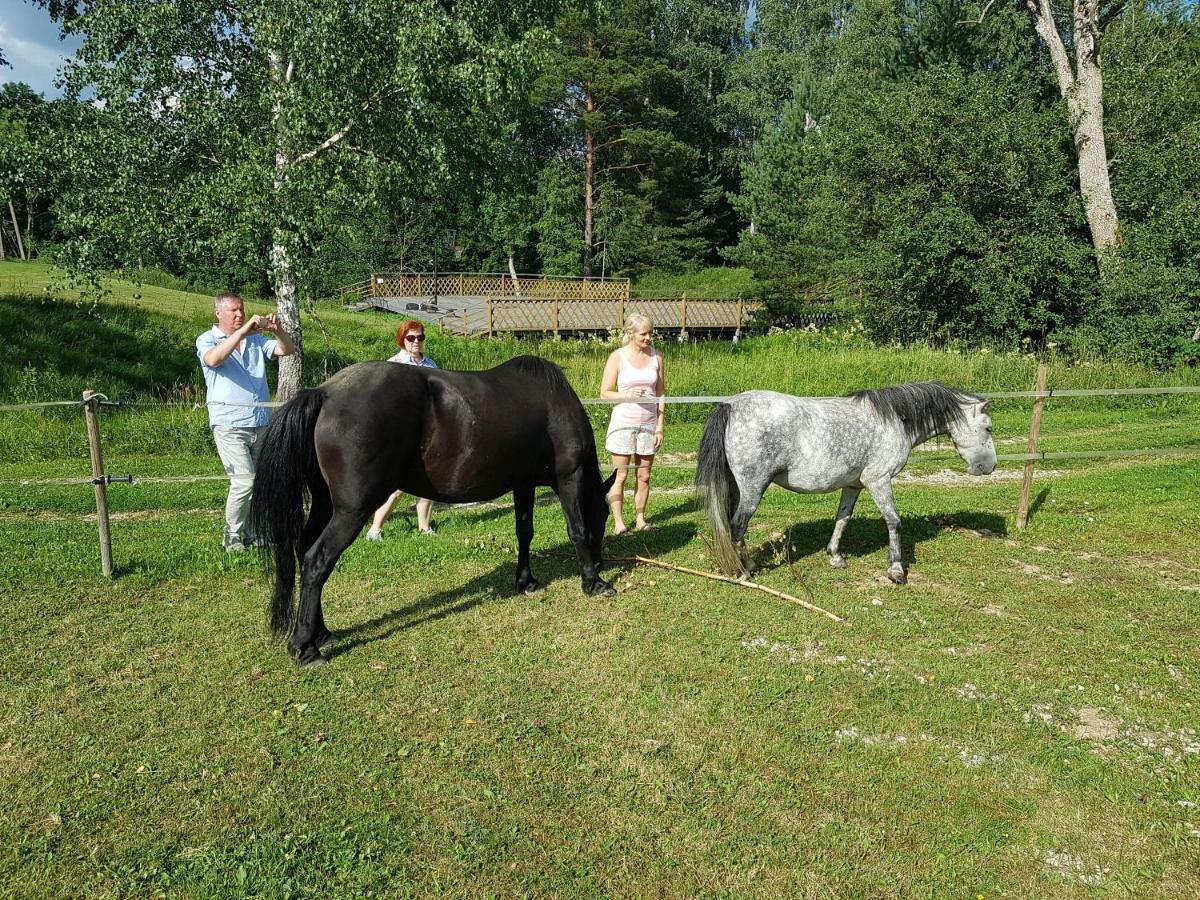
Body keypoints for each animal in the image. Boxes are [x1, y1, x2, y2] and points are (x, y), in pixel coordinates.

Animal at [247, 355, 614, 667]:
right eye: (604, 515)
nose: (600, 562)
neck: (554, 401)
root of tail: (325, 392)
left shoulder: (523, 485)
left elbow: (524, 532)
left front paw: (526, 581)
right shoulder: (569, 477)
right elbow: (576, 529)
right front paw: (594, 582)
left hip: (326, 504)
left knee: (304, 549)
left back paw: (321, 633)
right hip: (351, 511)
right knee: (317, 561)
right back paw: (306, 648)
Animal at [696, 381, 993, 585]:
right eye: (989, 428)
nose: (989, 467)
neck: (894, 420)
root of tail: (730, 405)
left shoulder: (853, 485)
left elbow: (843, 519)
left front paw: (834, 556)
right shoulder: (879, 481)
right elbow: (894, 521)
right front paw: (896, 570)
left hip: (737, 487)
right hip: (753, 487)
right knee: (738, 525)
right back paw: (745, 570)